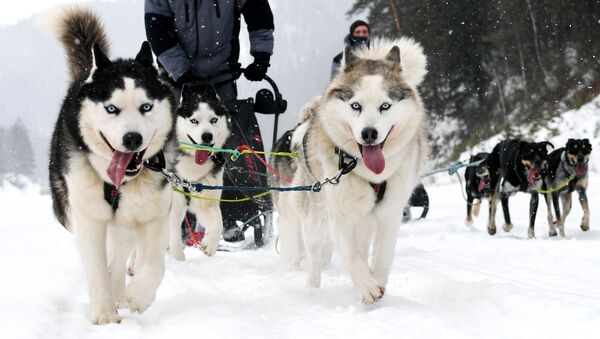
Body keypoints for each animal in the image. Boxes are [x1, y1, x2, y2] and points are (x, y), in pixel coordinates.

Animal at [47, 7, 175, 326]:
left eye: (146, 106)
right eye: (111, 108)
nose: (132, 138)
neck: (119, 183)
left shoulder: (155, 214)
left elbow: (154, 264)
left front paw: (138, 296)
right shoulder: (88, 217)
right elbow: (95, 267)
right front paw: (104, 314)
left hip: (126, 221)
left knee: (119, 257)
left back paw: (121, 293)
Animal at [171, 85, 232, 260]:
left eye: (213, 120)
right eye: (194, 121)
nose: (206, 136)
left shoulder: (207, 202)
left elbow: (218, 224)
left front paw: (209, 244)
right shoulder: (174, 206)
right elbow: (173, 236)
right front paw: (178, 260)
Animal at [270, 37, 428, 302]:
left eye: (385, 106)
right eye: (356, 105)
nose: (369, 133)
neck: (369, 174)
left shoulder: (389, 213)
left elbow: (382, 257)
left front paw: (375, 281)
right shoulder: (341, 215)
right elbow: (351, 256)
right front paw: (368, 287)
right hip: (313, 215)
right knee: (313, 253)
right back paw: (313, 287)